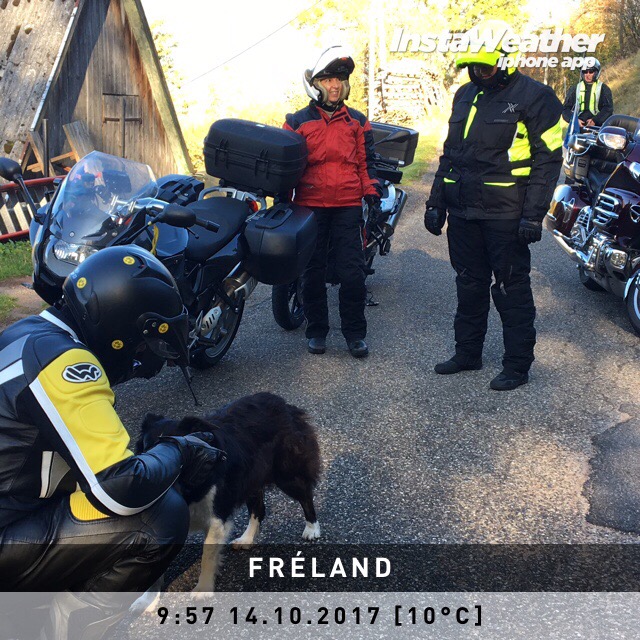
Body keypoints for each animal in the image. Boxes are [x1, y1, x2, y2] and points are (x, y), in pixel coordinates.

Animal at [135, 391, 321, 594]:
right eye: (145, 448)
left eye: (174, 450)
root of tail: (283, 403)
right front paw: (148, 598)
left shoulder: (218, 512)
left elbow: (208, 554)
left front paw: (202, 590)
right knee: (258, 509)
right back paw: (246, 539)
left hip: (286, 471)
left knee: (305, 495)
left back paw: (312, 528)